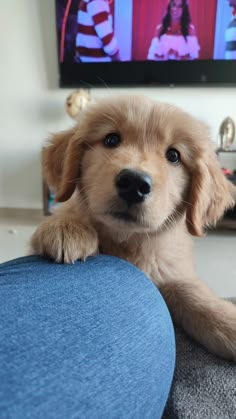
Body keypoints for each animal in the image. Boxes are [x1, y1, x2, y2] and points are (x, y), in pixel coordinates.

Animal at [31, 94, 236, 360]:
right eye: (111, 139)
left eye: (173, 155)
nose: (134, 184)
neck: (127, 241)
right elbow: (69, 212)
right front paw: (66, 227)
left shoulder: (171, 271)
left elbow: (194, 293)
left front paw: (227, 320)